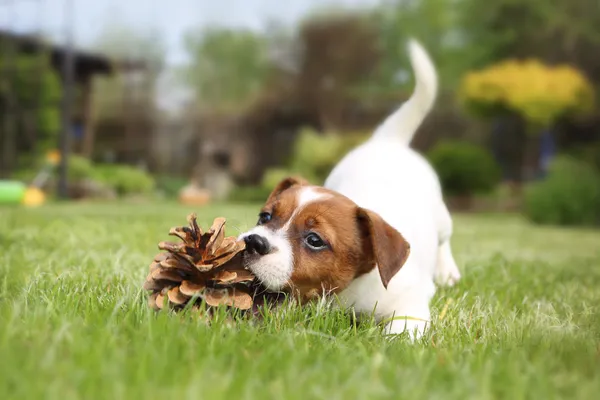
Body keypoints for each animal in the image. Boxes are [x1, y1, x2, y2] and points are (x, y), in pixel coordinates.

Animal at [238, 39, 460, 338]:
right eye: (265, 217)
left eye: (314, 240)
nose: (253, 241)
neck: (346, 292)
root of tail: (387, 141)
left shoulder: (410, 303)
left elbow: (402, 331)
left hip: (441, 217)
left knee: (444, 240)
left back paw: (447, 271)